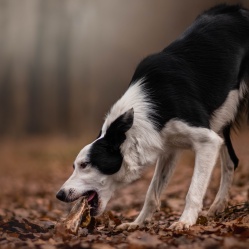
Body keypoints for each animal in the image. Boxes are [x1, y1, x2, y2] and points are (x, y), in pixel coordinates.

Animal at [56, 3, 249, 231]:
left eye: (84, 165)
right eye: (74, 166)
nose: (59, 195)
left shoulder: (207, 141)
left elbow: (193, 190)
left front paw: (185, 221)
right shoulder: (169, 149)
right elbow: (152, 192)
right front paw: (138, 223)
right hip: (222, 117)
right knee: (231, 161)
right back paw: (218, 205)